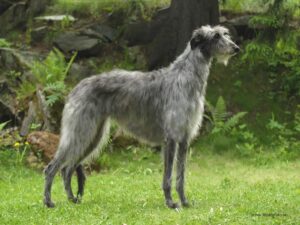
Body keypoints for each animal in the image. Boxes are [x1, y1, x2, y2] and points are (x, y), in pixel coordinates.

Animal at [43, 25, 239, 209]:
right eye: (215, 36)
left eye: (225, 33)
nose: (236, 48)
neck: (185, 77)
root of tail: (75, 88)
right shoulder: (171, 138)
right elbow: (168, 177)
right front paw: (170, 203)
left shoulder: (184, 138)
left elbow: (181, 176)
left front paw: (184, 202)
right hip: (81, 132)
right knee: (52, 168)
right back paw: (49, 201)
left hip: (93, 136)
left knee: (67, 169)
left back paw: (72, 199)